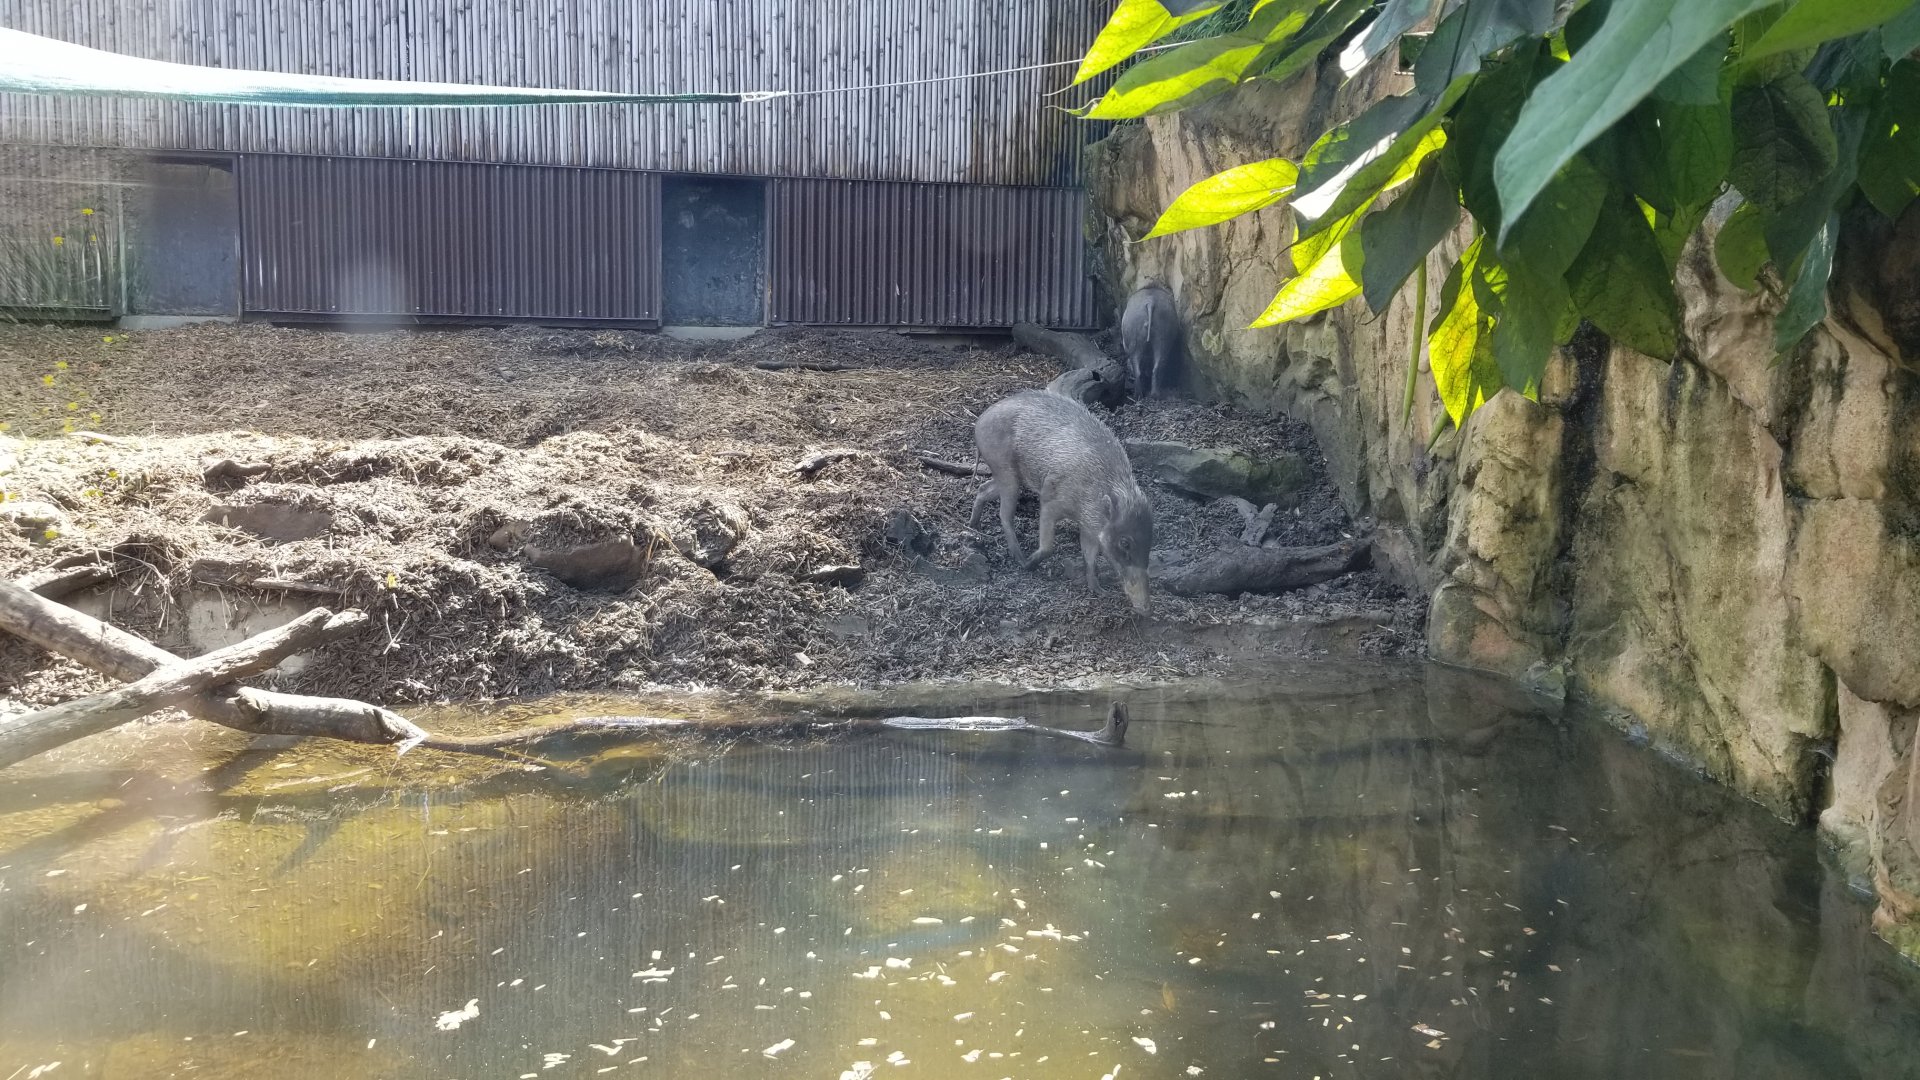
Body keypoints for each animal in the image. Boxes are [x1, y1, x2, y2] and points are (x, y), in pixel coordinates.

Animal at [968, 390, 1154, 612]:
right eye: (1125, 543)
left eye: (1151, 542)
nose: (1146, 609)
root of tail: (979, 421)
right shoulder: (1050, 501)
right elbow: (1049, 546)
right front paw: (1030, 565)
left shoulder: (1089, 527)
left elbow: (1089, 556)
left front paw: (1100, 591)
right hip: (1006, 472)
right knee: (1004, 514)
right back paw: (1020, 559)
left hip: (1009, 476)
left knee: (982, 490)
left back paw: (973, 526)